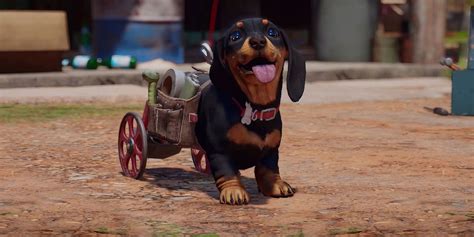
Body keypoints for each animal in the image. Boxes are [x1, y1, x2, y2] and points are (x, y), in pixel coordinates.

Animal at [194, 17, 306, 205]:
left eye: (272, 32)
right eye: (235, 36)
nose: (258, 41)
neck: (254, 107)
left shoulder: (271, 149)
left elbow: (268, 169)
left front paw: (276, 185)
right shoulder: (219, 150)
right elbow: (227, 171)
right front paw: (233, 191)